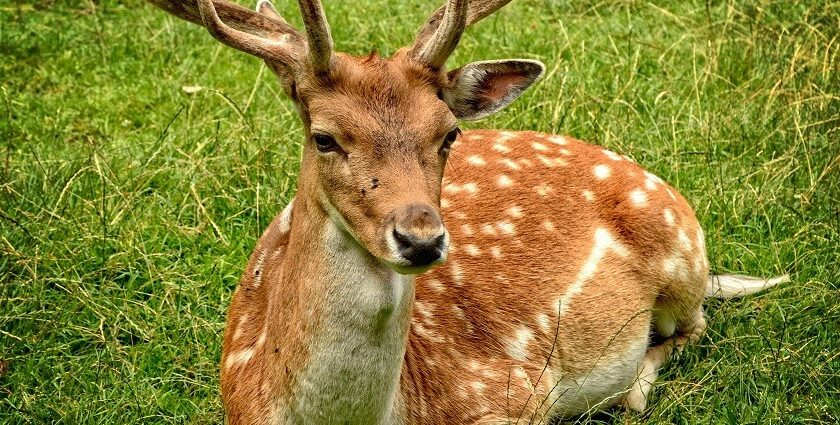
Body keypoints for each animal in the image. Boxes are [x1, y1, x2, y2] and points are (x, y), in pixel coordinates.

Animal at [144, 0, 788, 422]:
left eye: (448, 133)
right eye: (324, 137)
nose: (421, 238)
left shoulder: (507, 395)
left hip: (679, 249)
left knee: (694, 325)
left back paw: (635, 389)